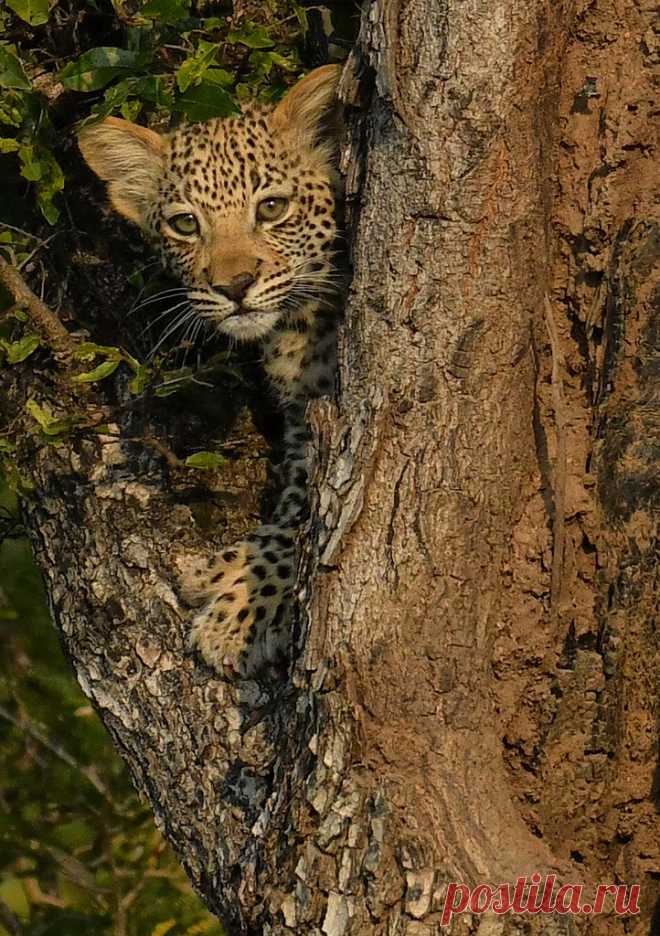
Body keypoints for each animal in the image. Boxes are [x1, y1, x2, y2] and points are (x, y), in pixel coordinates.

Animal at [78, 64, 344, 679]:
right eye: (184, 224)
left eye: (271, 208)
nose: (234, 286)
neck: (299, 327)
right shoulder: (304, 419)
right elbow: (297, 500)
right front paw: (231, 572)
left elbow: (304, 516)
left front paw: (240, 614)